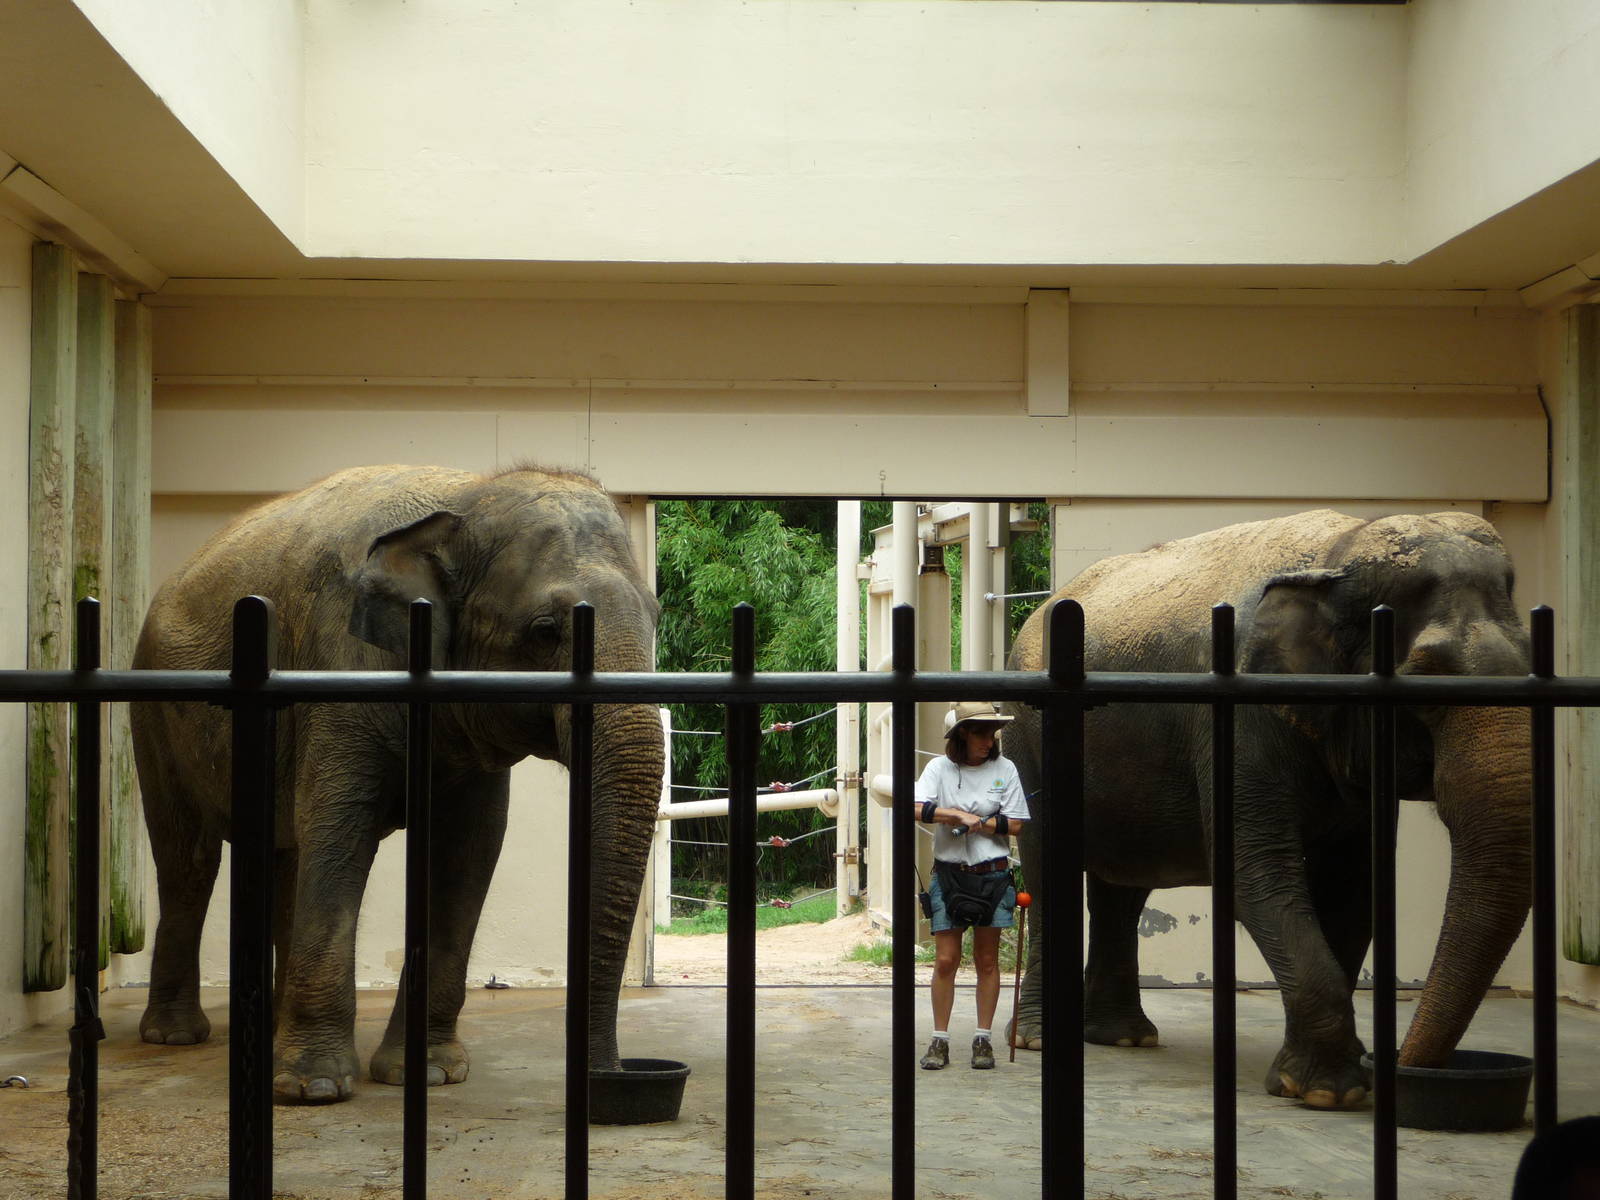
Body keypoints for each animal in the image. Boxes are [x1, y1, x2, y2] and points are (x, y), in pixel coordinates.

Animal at [131, 464, 665, 1104]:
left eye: (656, 618)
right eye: (544, 631)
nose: (611, 1078)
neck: (466, 497)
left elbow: (468, 851)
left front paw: (431, 1074)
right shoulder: (343, 670)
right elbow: (340, 831)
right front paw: (313, 1088)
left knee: (285, 854)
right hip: (154, 710)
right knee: (190, 860)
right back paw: (175, 1036)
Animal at [1002, 509, 1532, 1110]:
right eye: (1423, 678)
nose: (1406, 1069)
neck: (1339, 552)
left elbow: (1352, 888)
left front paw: (1326, 1086)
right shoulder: (1238, 716)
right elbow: (1254, 875)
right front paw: (1328, 1092)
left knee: (1125, 885)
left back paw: (1124, 1037)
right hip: (1026, 736)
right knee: (1048, 869)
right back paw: (1041, 1040)